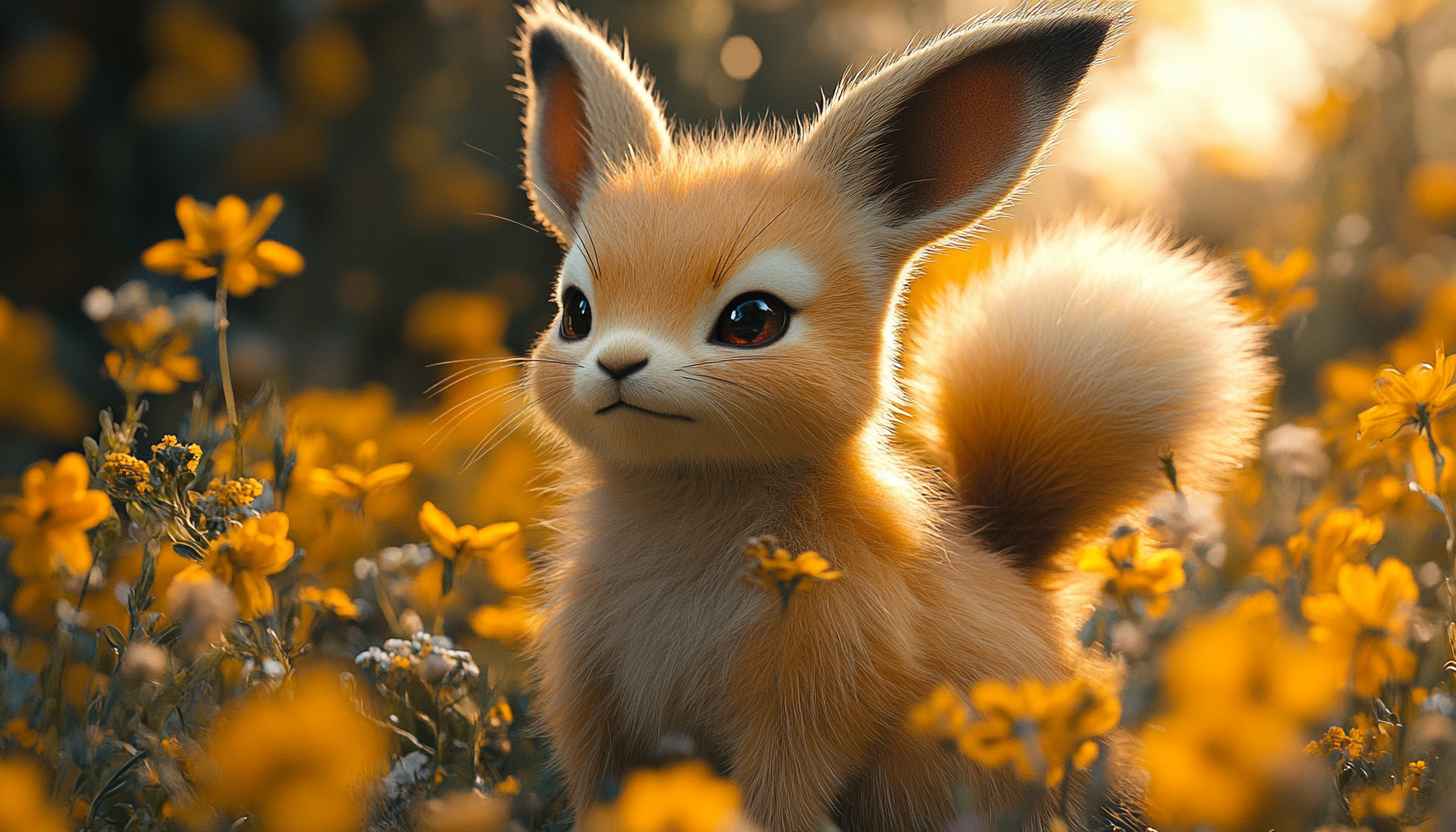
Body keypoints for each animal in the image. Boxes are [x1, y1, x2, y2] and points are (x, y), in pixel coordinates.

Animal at [513, 1, 1274, 829]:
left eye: (752, 320)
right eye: (575, 313)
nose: (617, 362)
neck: (691, 496)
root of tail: (1022, 575)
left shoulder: (810, 706)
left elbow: (781, 798)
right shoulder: (595, 716)